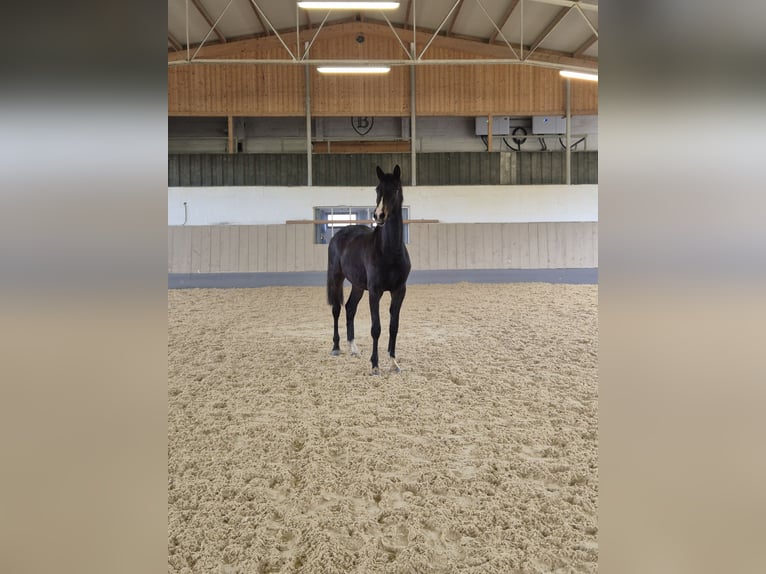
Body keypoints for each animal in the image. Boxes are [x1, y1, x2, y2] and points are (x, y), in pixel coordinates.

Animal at [326, 165, 412, 375]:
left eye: (395, 189)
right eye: (377, 189)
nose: (379, 215)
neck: (389, 250)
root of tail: (339, 234)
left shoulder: (399, 291)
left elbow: (393, 326)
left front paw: (393, 363)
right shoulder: (375, 291)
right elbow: (376, 328)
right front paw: (375, 365)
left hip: (358, 286)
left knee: (350, 308)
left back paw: (354, 348)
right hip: (336, 277)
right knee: (336, 309)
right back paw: (336, 347)